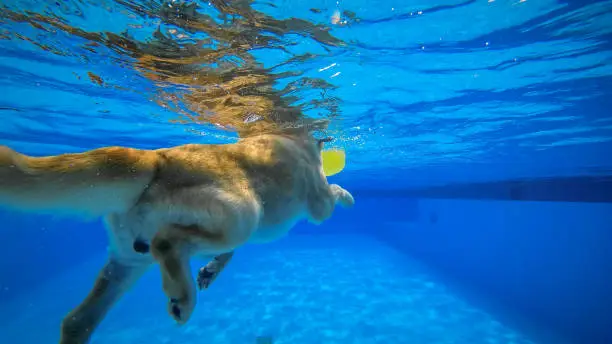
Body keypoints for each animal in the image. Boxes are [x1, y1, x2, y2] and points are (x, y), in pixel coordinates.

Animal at [0, 128, 354, 344]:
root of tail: (157, 157)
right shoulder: (319, 203)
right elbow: (332, 193)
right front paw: (348, 195)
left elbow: (229, 252)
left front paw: (210, 271)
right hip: (243, 214)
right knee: (168, 242)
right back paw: (182, 299)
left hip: (128, 260)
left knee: (77, 319)